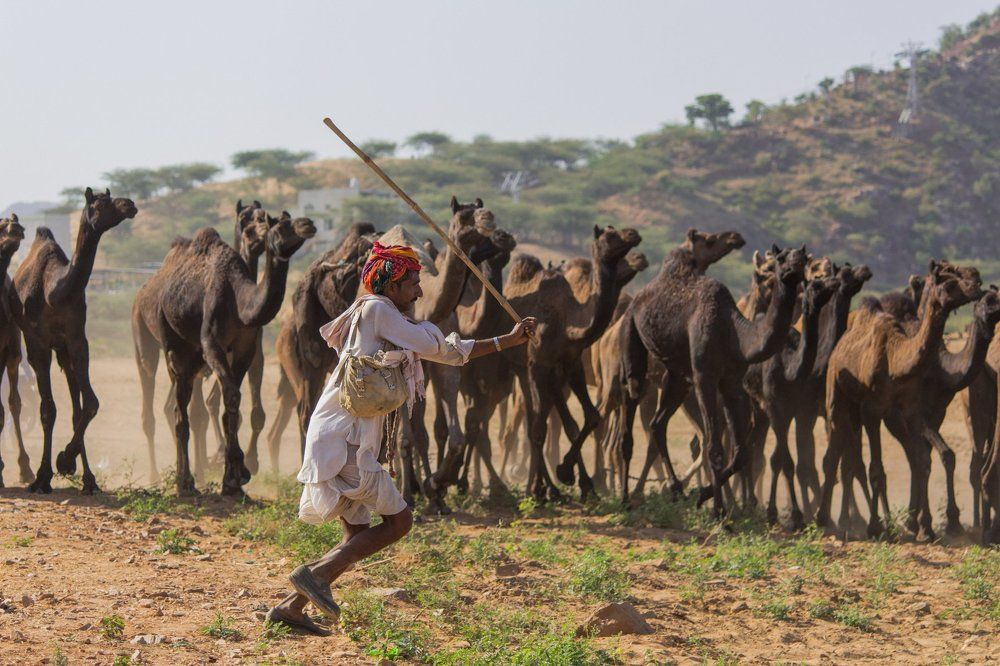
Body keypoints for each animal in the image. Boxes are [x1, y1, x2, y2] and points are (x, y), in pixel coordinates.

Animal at [15, 188, 138, 494]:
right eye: (100, 203)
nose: (129, 204)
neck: (54, 292)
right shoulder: (37, 343)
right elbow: (48, 410)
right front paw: (43, 476)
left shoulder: (77, 338)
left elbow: (89, 403)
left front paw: (67, 462)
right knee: (53, 407)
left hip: (64, 351)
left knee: (75, 405)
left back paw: (87, 478)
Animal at [134, 211, 315, 495]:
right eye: (280, 226)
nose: (308, 224)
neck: (239, 301)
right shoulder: (212, 343)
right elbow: (231, 396)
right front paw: (237, 473)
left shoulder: (245, 349)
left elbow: (233, 402)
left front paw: (233, 479)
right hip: (167, 340)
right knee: (176, 406)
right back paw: (184, 482)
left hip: (193, 355)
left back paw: (186, 477)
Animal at [501, 225, 641, 501]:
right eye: (609, 235)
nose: (634, 234)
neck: (568, 325)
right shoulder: (538, 364)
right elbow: (539, 428)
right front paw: (551, 485)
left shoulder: (571, 364)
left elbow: (591, 417)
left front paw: (571, 476)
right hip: (522, 369)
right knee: (533, 421)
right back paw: (539, 487)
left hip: (550, 375)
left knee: (553, 419)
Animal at [618, 238, 808, 514]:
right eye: (781, 259)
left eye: (803, 258)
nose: (794, 268)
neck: (735, 333)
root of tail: (638, 297)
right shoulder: (705, 377)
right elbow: (715, 448)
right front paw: (718, 511)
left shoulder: (732, 382)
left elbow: (740, 453)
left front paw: (702, 495)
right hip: (630, 331)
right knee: (631, 390)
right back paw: (625, 497)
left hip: (677, 376)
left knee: (657, 423)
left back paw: (676, 488)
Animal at [817, 261, 982, 539]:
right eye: (946, 277)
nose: (976, 280)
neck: (896, 361)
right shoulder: (872, 409)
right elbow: (876, 469)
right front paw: (877, 527)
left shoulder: (911, 409)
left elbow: (921, 459)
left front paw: (922, 528)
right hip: (836, 393)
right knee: (833, 454)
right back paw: (825, 521)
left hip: (855, 408)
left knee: (844, 454)